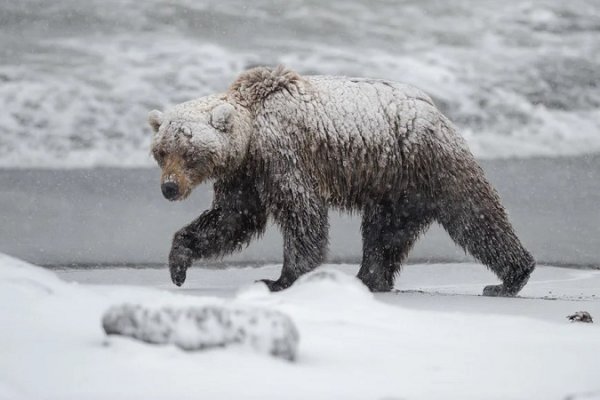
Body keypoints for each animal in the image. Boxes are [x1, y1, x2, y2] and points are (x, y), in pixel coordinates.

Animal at [149, 65, 536, 296]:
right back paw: (368, 279)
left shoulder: (283, 155)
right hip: (395, 186)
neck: (252, 135)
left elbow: (301, 214)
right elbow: (231, 218)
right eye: (162, 152)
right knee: (385, 232)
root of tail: (437, 110)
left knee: (475, 217)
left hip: (427, 161)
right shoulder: (244, 174)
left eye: (188, 152)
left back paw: (509, 278)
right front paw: (178, 264)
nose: (169, 188)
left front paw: (280, 279)